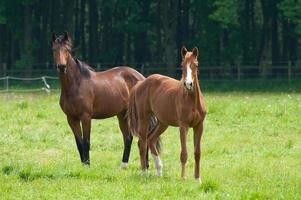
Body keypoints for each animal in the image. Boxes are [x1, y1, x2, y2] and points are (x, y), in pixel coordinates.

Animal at [51, 32, 150, 166]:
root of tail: (141, 77)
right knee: (128, 138)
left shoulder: (85, 117)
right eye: (54, 49)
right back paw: (124, 165)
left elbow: (86, 142)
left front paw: (87, 165)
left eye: (67, 50)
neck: (75, 85)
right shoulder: (71, 119)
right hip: (122, 115)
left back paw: (146, 165)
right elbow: (79, 143)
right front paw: (83, 165)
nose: (61, 67)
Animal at [127, 47, 205, 181]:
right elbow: (184, 153)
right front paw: (183, 178)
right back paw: (144, 172)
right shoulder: (183, 126)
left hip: (162, 123)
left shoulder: (199, 126)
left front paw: (197, 179)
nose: (188, 84)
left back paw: (159, 170)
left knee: (151, 139)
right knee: (142, 143)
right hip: (144, 118)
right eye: (182, 65)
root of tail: (140, 83)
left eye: (196, 64)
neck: (192, 101)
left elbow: (197, 153)